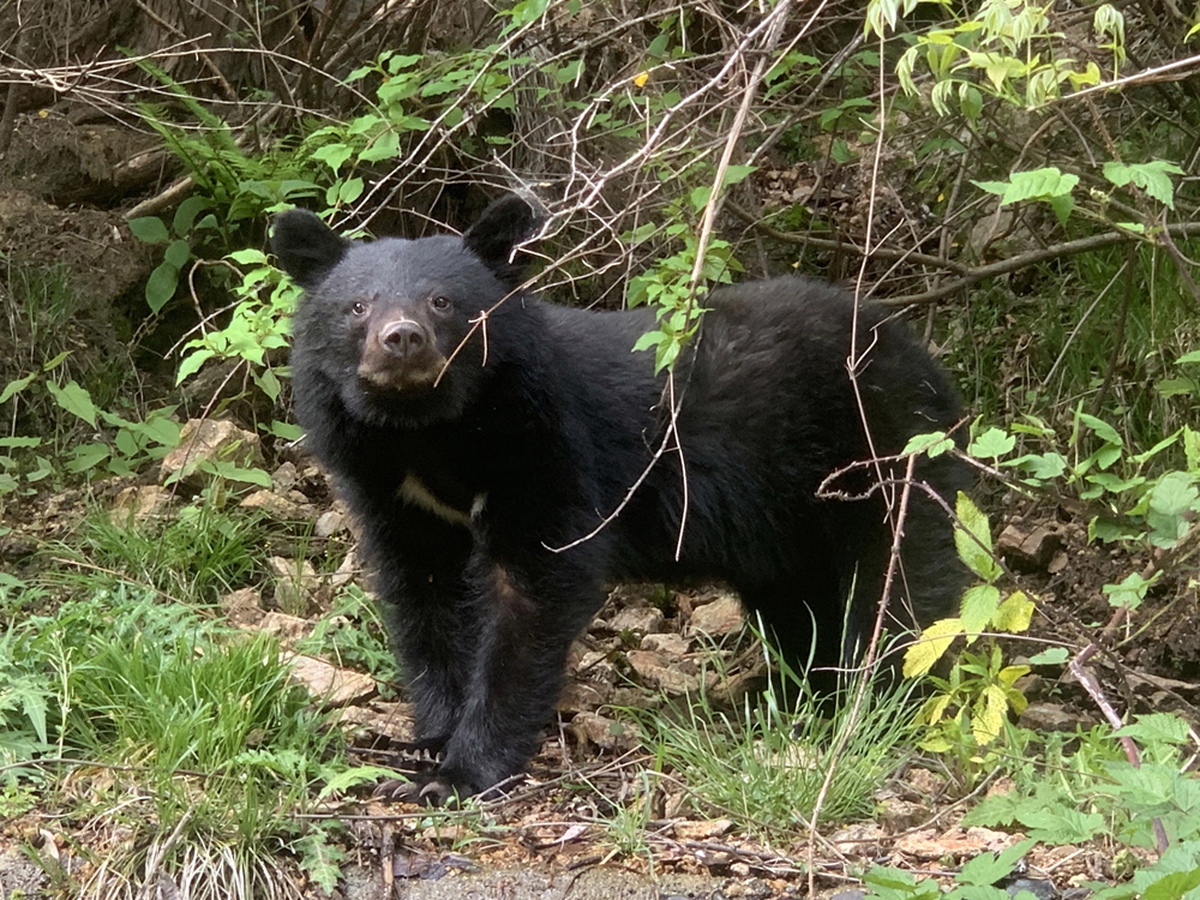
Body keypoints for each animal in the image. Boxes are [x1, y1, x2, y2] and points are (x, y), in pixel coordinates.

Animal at [271, 194, 972, 804]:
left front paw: (461, 774)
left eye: (443, 302)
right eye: (357, 306)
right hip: (787, 522)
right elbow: (427, 596)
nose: (402, 340)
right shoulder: (391, 491)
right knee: (801, 604)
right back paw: (799, 696)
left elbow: (534, 591)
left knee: (901, 589)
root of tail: (930, 364)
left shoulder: (546, 448)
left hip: (884, 458)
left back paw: (878, 706)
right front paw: (428, 743)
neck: (431, 434)